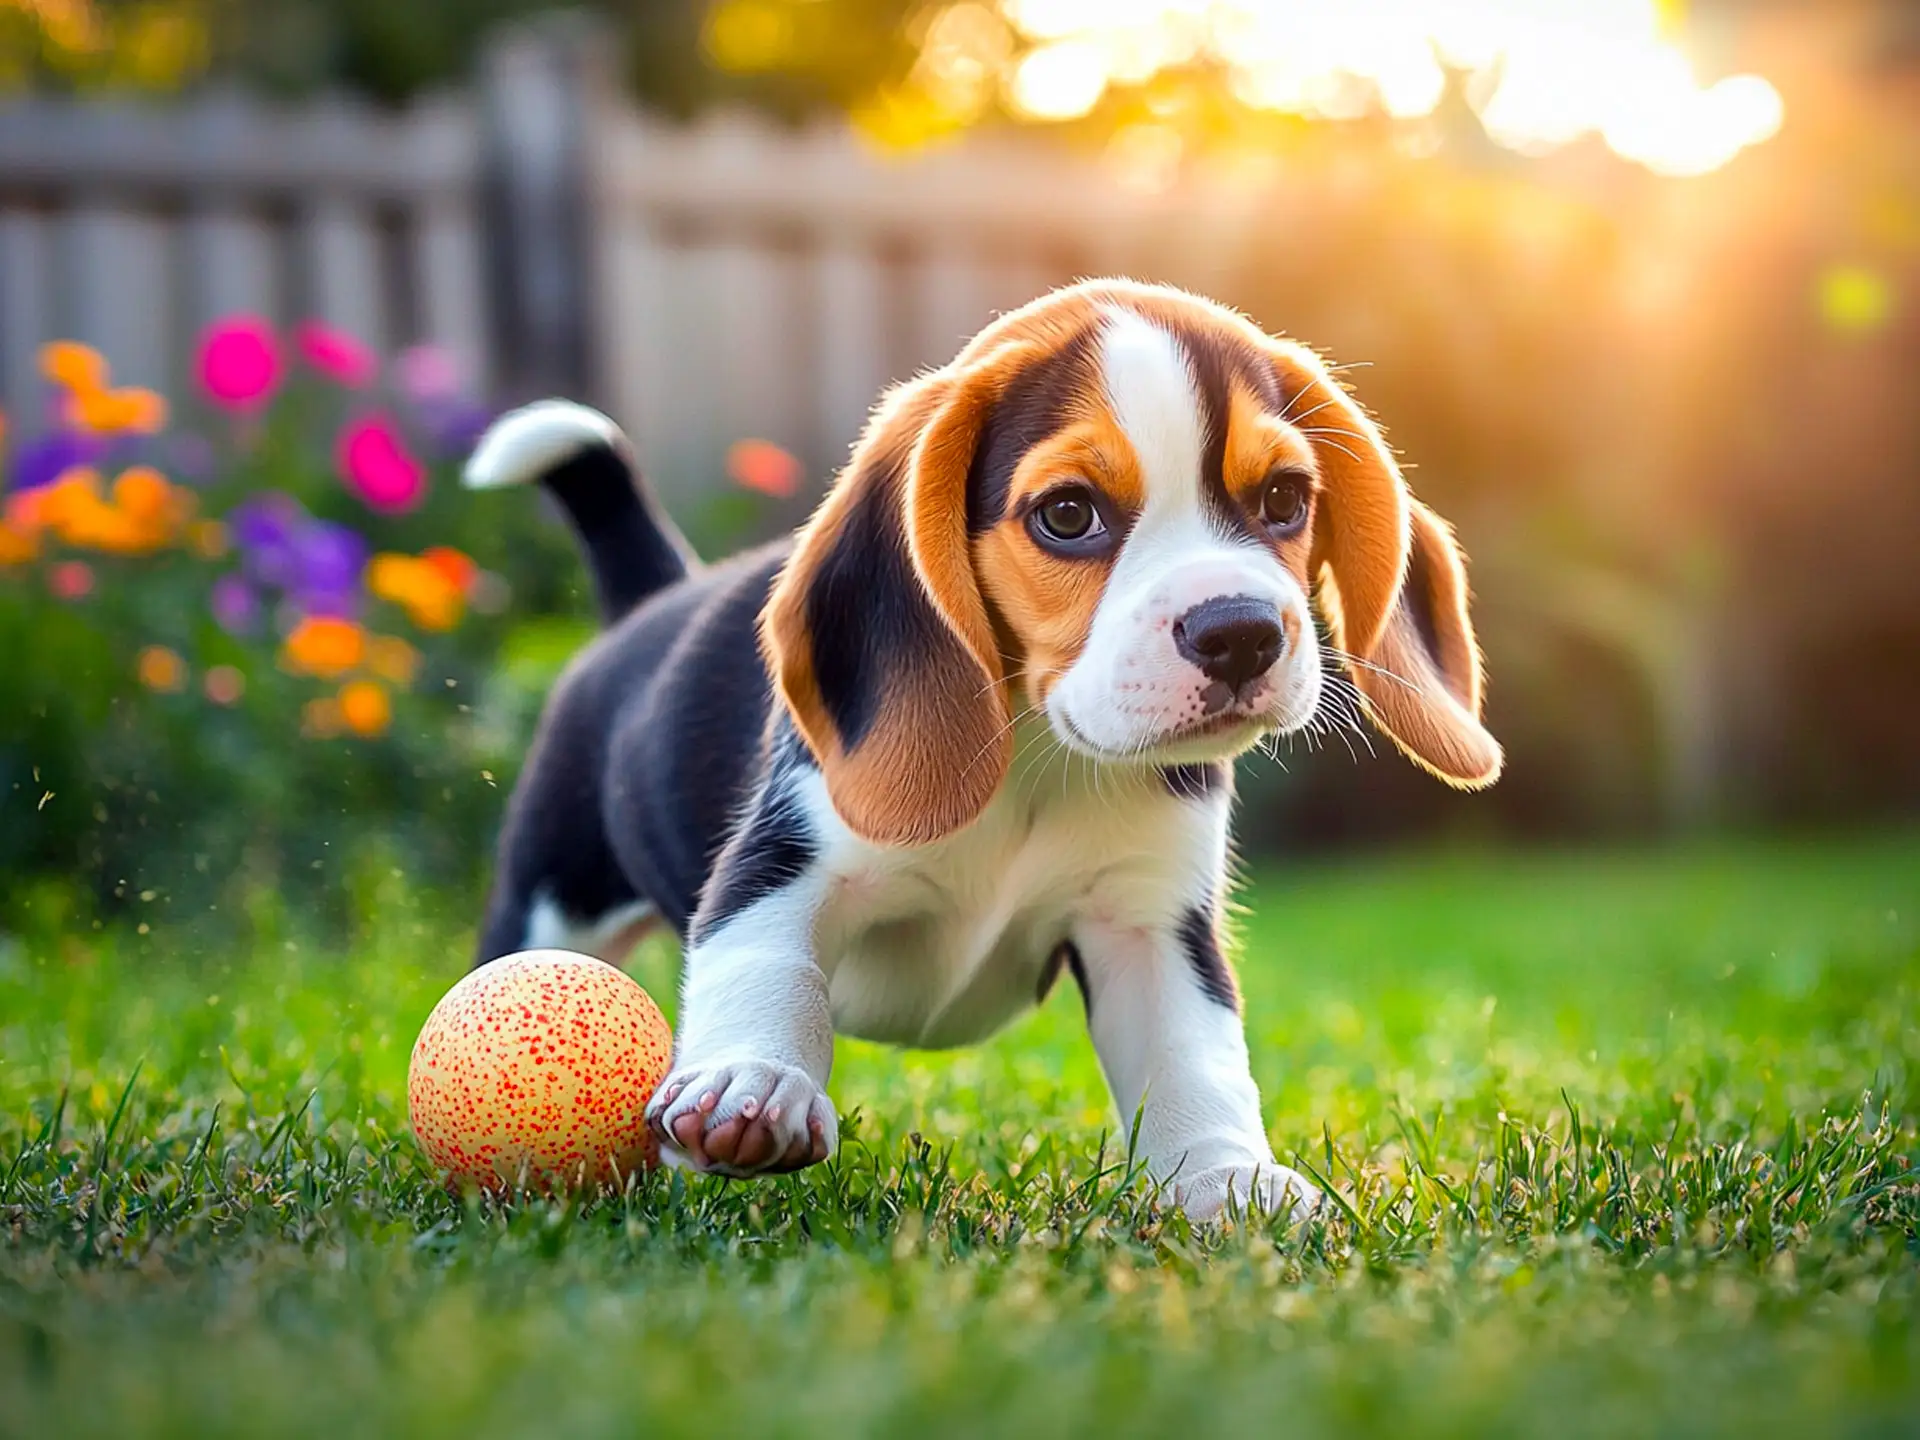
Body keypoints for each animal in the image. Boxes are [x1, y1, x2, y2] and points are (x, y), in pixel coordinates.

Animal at [464, 278, 1497, 1221]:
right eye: (1068, 514)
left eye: (1285, 498)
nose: (1241, 632)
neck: (1041, 759)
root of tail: (649, 601)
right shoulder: (785, 859)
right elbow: (765, 963)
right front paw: (751, 1086)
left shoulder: (1148, 919)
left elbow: (1194, 1051)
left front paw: (1223, 1176)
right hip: (551, 899)